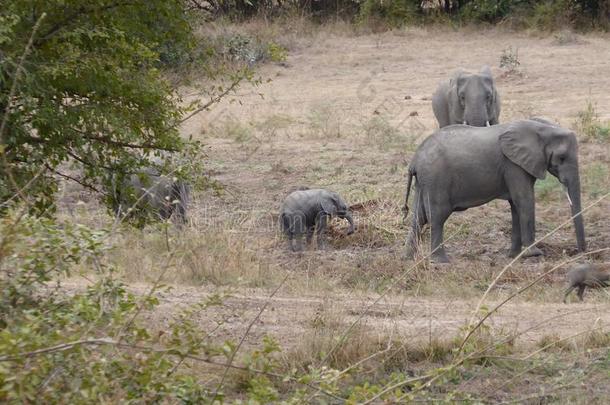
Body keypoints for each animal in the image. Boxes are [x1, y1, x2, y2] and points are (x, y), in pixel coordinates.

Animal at [404, 117, 584, 262]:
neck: (541, 128)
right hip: (436, 179)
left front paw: (513, 256)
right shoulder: (513, 165)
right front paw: (534, 254)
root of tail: (414, 160)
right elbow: (524, 200)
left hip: (424, 182)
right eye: (562, 157)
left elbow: (515, 205)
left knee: (418, 217)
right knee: (437, 216)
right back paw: (440, 261)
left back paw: (409, 258)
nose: (580, 252)